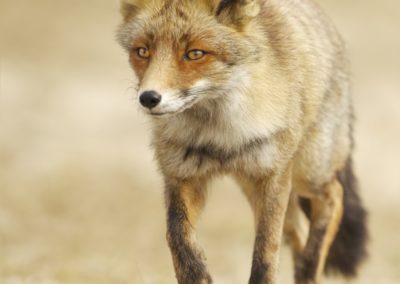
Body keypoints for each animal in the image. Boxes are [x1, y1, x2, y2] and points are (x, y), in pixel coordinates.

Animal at [117, 1, 368, 282]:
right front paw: (197, 273)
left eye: (194, 53)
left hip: (307, 173)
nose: (148, 98)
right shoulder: (182, 176)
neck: (219, 138)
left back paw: (309, 269)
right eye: (142, 51)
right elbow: (177, 237)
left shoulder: (273, 177)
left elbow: (266, 252)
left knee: (333, 197)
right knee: (302, 231)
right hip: (258, 187)